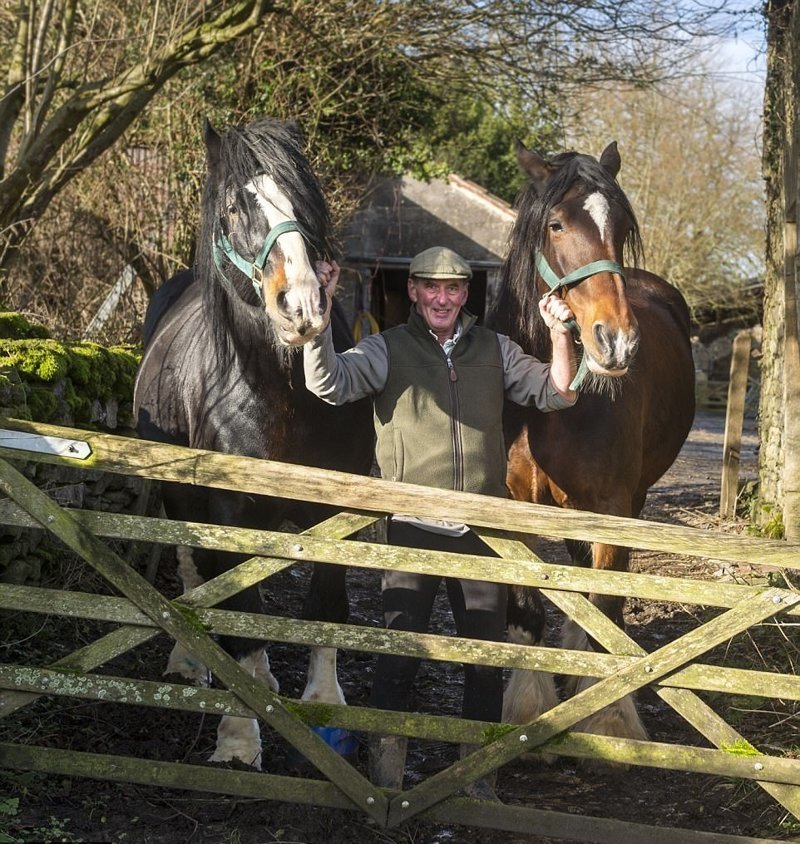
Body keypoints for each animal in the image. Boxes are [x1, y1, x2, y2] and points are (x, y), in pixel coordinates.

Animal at [136, 118, 374, 772]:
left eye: (305, 201)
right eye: (233, 208)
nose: (302, 307)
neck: (280, 394)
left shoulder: (336, 512)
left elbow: (325, 607)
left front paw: (325, 703)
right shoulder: (226, 510)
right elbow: (239, 609)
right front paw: (240, 739)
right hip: (180, 501)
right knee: (196, 577)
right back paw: (192, 664)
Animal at [490, 142, 696, 740]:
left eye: (622, 227)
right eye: (556, 224)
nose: (617, 342)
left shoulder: (611, 507)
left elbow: (602, 609)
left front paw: (607, 722)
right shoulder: (516, 505)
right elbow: (528, 610)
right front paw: (528, 710)